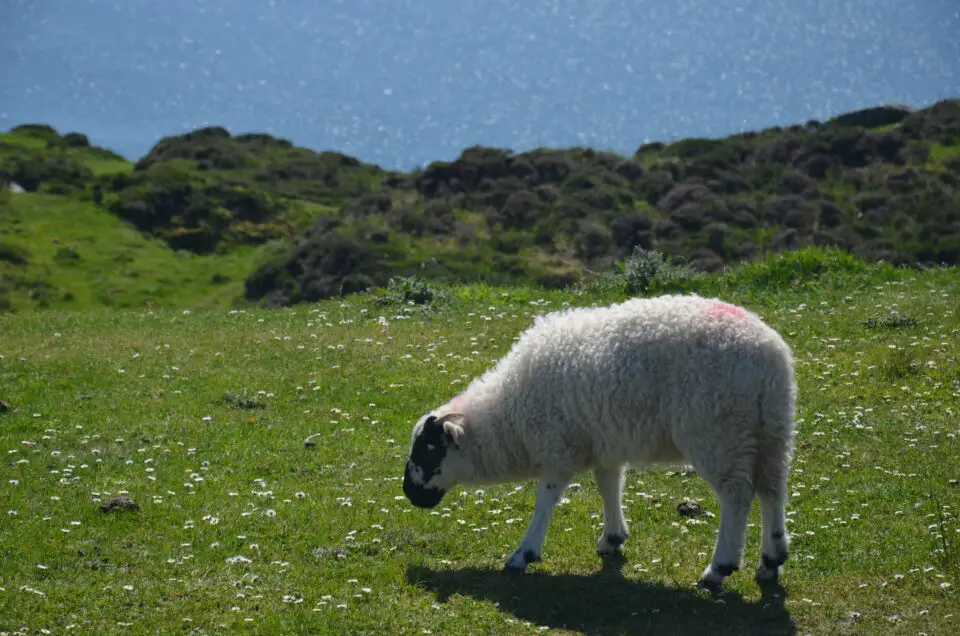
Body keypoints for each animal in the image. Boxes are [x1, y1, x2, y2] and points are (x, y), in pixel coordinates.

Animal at [402, 296, 800, 588]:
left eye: (428, 450)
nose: (408, 493)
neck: (508, 417)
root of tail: (769, 353)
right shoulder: (604, 443)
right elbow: (608, 486)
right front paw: (612, 538)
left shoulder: (558, 446)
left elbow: (545, 499)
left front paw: (524, 553)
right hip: (772, 429)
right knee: (772, 489)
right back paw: (771, 559)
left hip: (718, 430)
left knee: (737, 496)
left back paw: (720, 567)